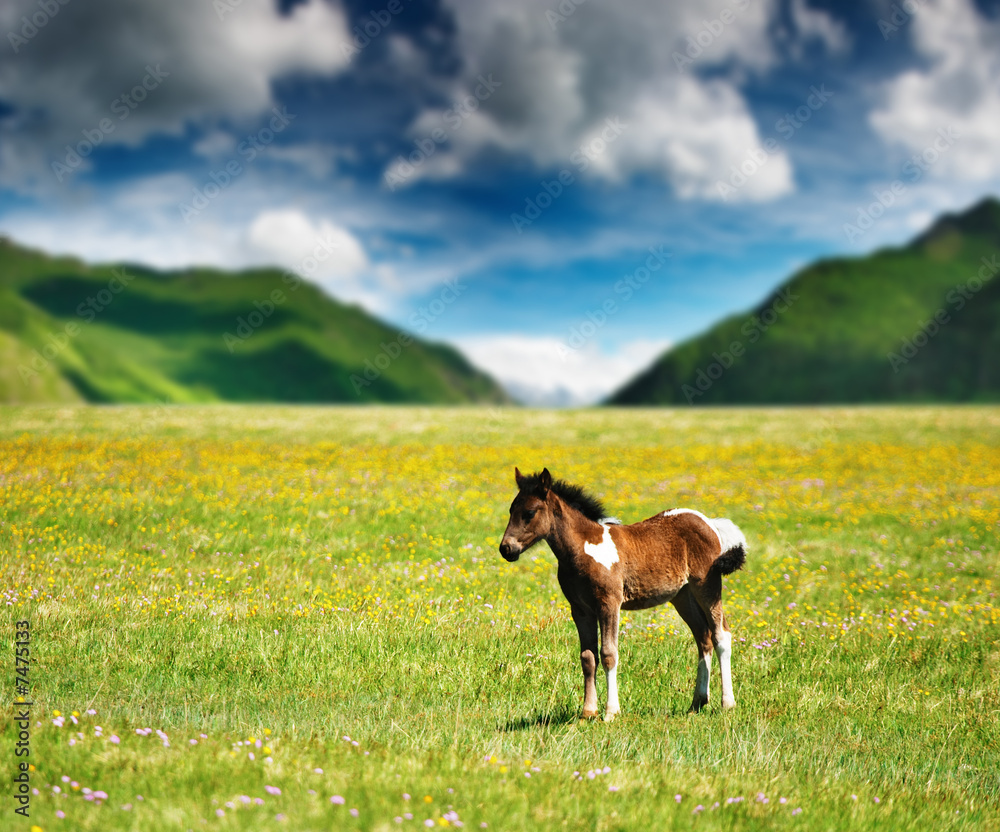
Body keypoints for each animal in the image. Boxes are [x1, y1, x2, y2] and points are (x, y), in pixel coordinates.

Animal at [496, 468, 748, 720]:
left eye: (529, 512)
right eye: (510, 510)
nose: (506, 549)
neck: (584, 548)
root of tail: (709, 522)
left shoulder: (609, 603)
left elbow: (609, 654)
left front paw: (610, 712)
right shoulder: (580, 609)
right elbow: (587, 657)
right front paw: (588, 711)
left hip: (707, 585)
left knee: (721, 635)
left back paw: (727, 703)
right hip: (682, 595)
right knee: (702, 637)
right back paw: (697, 703)